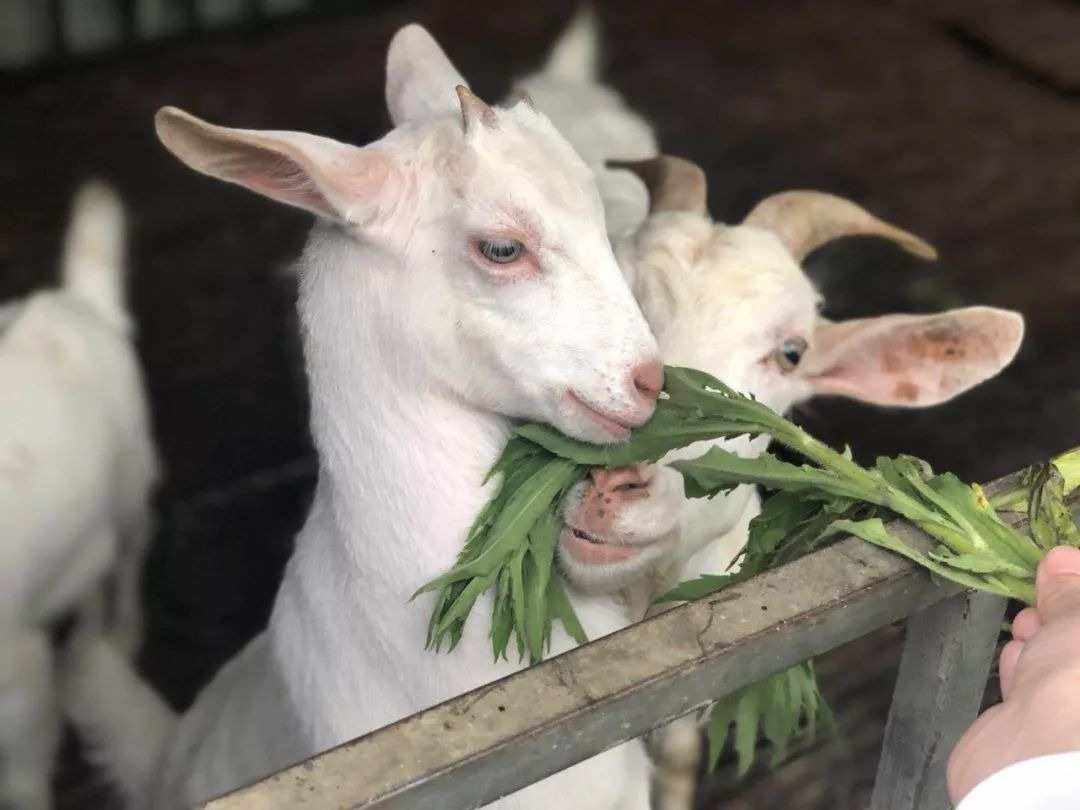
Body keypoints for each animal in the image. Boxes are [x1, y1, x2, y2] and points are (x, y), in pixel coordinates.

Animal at [0, 183, 158, 810]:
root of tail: (74, 302)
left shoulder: (19, 673)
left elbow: (22, 771)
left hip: (130, 481)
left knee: (132, 551)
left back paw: (123, 635)